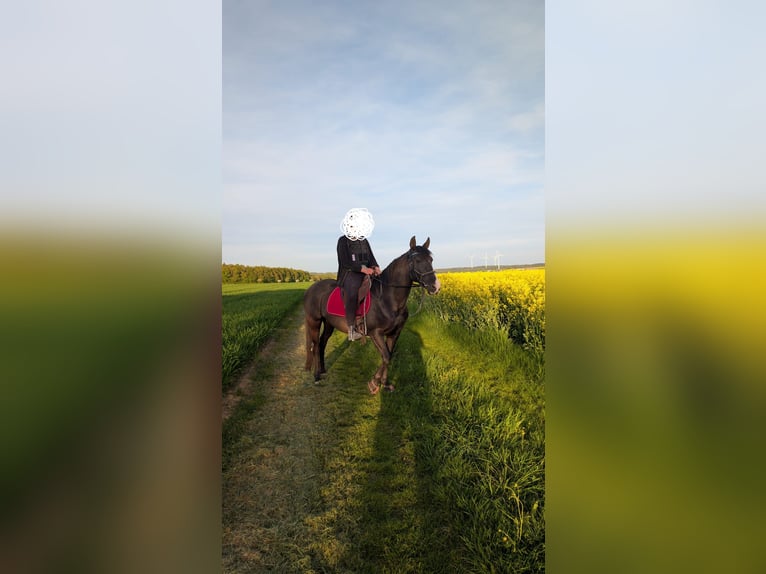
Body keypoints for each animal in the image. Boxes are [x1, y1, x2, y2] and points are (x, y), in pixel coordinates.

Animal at [303, 236, 441, 394]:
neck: (388, 299)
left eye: (431, 260)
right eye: (417, 260)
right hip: (314, 322)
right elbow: (386, 356)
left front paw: (384, 383)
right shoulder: (376, 333)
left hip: (328, 324)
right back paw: (316, 376)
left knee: (322, 343)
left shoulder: (394, 333)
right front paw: (374, 383)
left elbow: (388, 355)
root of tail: (311, 288)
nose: (435, 287)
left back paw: (323, 371)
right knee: (315, 346)